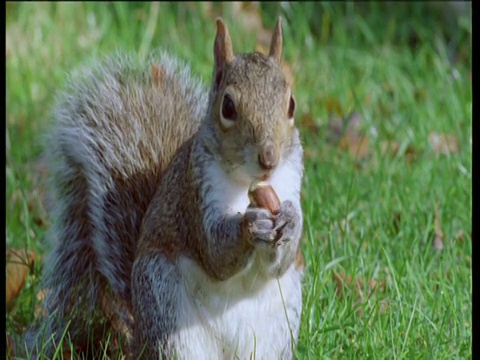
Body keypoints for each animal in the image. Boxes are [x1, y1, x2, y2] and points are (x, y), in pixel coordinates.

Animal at [23, 15, 304, 358]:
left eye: (291, 105)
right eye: (228, 107)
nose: (269, 158)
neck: (248, 182)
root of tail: (139, 340)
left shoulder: (291, 178)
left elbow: (281, 262)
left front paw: (290, 221)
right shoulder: (194, 192)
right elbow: (215, 253)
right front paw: (249, 225)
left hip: (276, 333)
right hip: (167, 313)